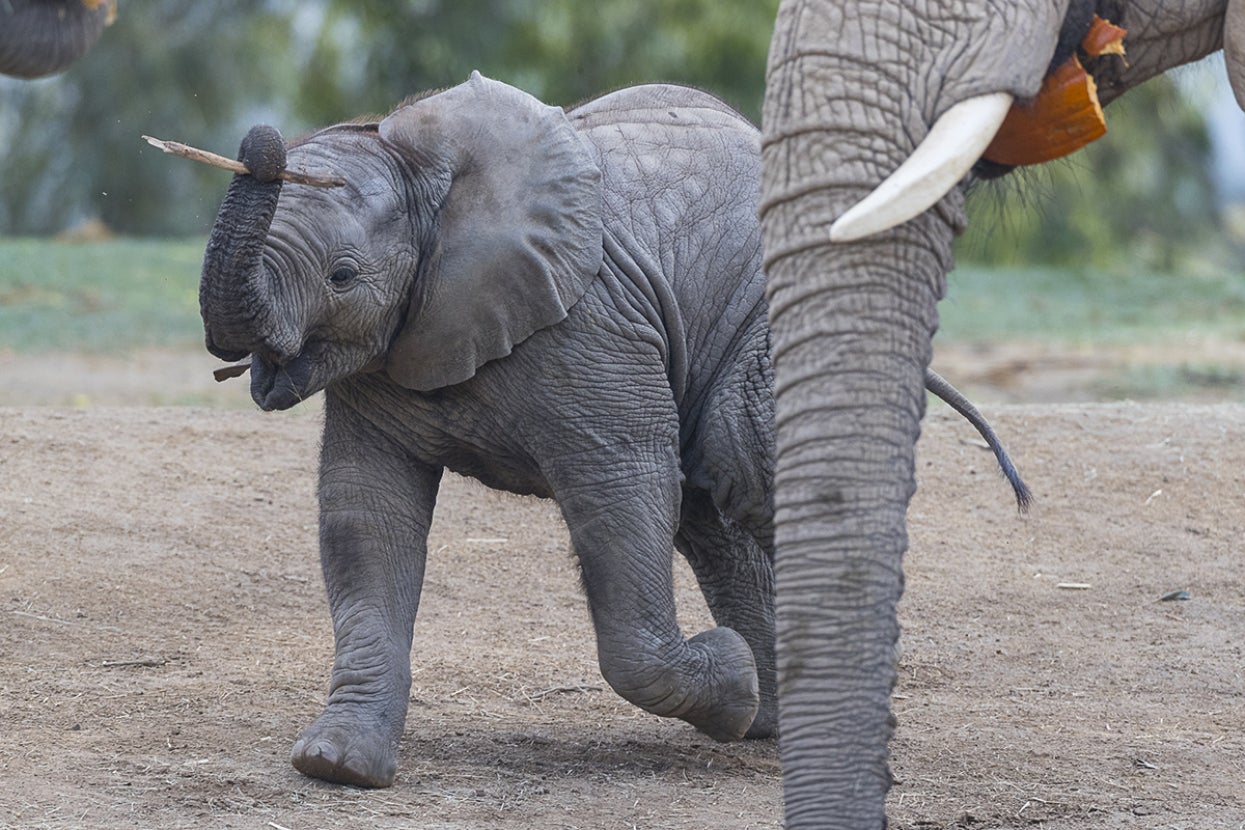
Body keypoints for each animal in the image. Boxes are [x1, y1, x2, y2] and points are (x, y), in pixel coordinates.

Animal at [189, 72, 1028, 789]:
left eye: (341, 277)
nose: (260, 136)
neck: (426, 171)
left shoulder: (592, 329)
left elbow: (621, 492)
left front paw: (728, 680)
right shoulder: (385, 361)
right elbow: (366, 519)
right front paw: (335, 765)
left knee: (746, 470)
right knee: (714, 511)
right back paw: (771, 721)